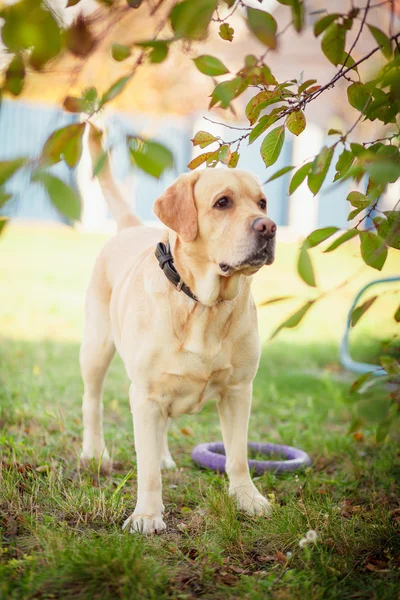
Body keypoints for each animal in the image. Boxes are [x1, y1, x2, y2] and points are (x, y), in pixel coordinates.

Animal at [79, 132, 276, 536]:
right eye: (222, 202)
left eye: (262, 202)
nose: (268, 226)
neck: (203, 303)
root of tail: (130, 226)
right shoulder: (145, 395)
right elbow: (147, 471)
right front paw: (146, 515)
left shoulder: (238, 391)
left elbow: (237, 456)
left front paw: (247, 499)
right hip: (95, 348)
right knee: (93, 402)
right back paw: (94, 453)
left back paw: (165, 456)